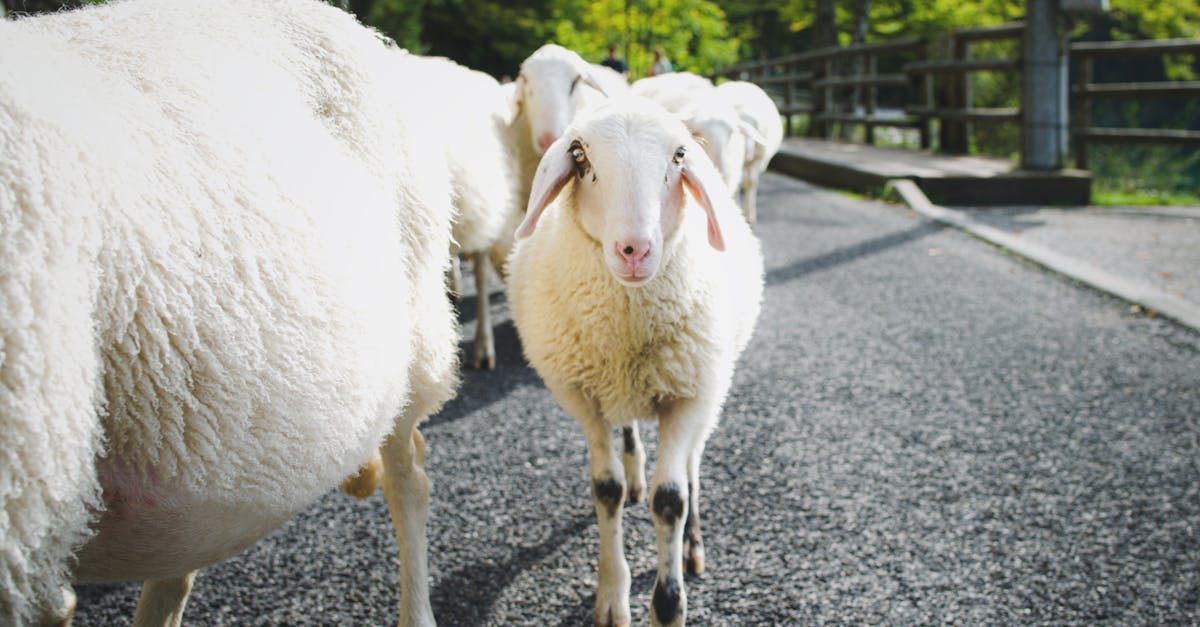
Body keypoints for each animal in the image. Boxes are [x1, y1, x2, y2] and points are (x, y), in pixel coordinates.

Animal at [506, 97, 764, 627]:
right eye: (579, 155)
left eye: (680, 155)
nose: (635, 249)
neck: (626, 329)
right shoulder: (582, 395)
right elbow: (607, 489)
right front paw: (612, 594)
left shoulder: (689, 397)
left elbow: (672, 500)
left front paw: (668, 604)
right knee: (628, 433)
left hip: (705, 393)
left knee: (691, 465)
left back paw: (691, 542)